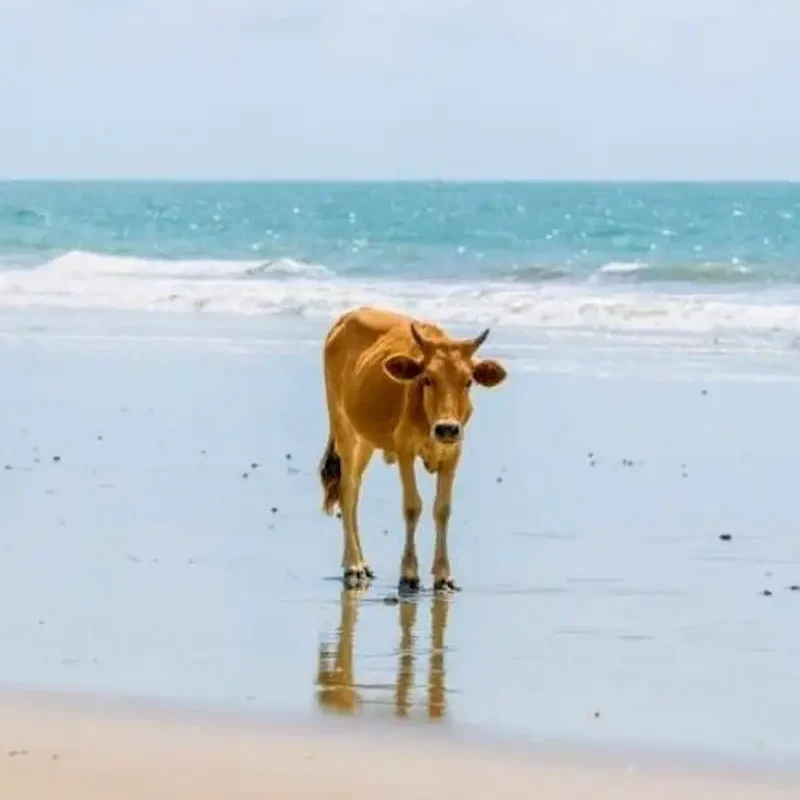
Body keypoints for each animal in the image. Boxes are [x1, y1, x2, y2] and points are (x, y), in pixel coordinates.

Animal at [319, 306, 507, 592]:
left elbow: (443, 509)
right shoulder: (404, 450)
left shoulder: (453, 453)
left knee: (353, 493)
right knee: (347, 491)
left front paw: (443, 575)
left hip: (365, 440)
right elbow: (412, 506)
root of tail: (343, 320)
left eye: (468, 381)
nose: (447, 428)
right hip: (343, 428)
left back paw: (360, 562)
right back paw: (353, 565)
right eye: (427, 379)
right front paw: (408, 574)